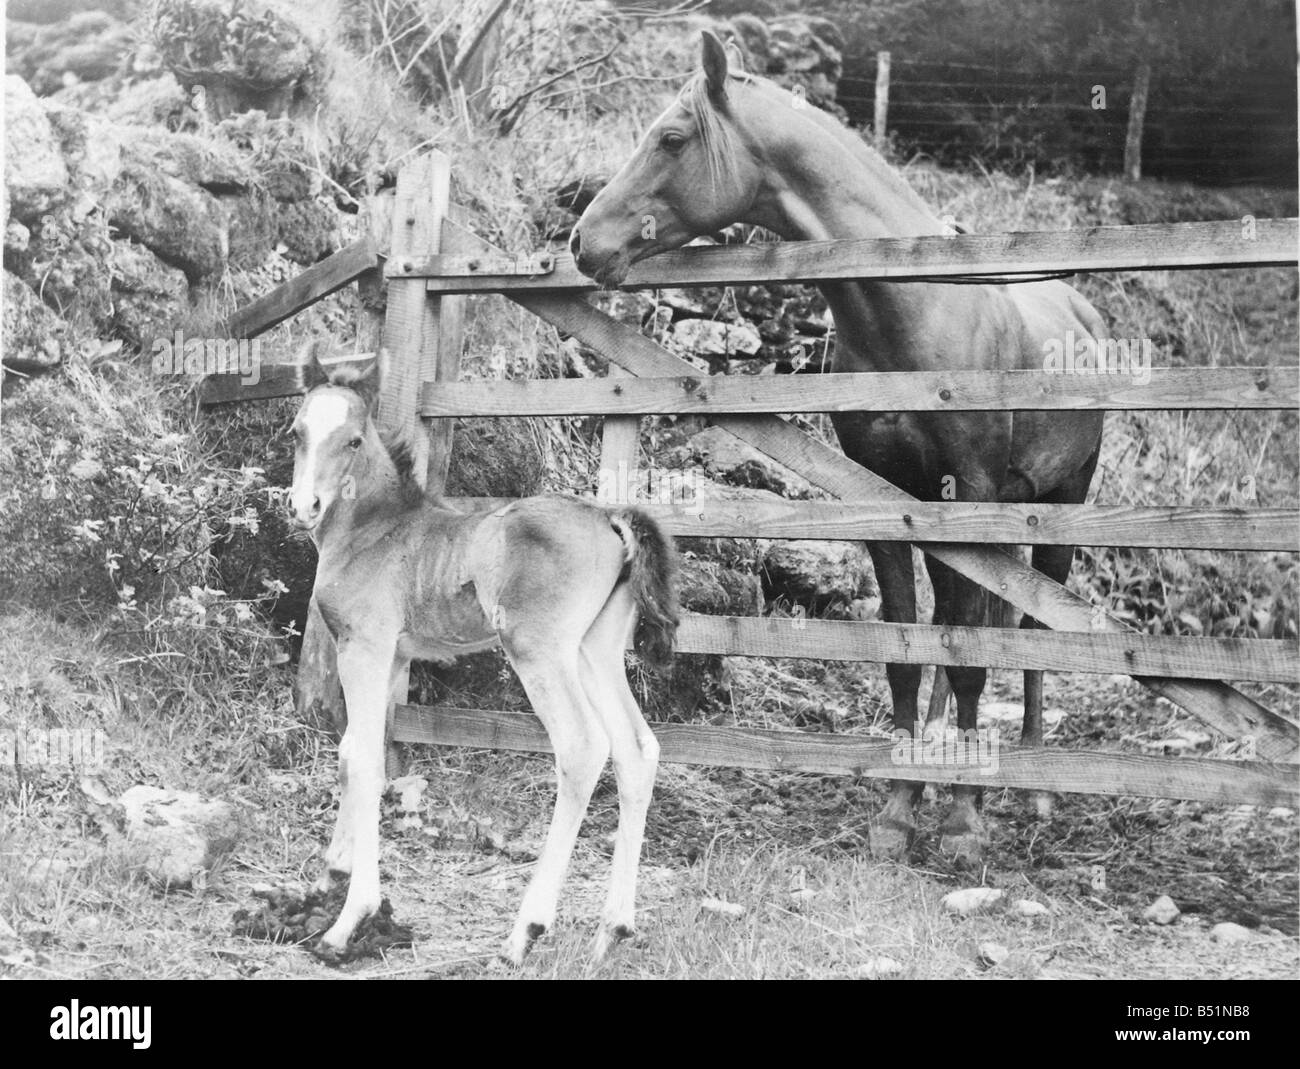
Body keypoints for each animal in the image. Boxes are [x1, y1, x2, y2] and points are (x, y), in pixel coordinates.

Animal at [286, 344, 679, 963]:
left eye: (352, 439)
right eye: (297, 431)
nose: (304, 506)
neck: (373, 532)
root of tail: (609, 515)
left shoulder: (364, 647)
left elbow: (364, 759)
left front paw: (349, 920)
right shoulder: (391, 657)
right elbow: (354, 750)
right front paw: (331, 874)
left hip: (539, 650)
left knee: (582, 748)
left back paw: (524, 932)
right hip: (594, 652)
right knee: (636, 749)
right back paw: (610, 932)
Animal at [569, 31, 1107, 865]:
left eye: (673, 138)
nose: (581, 241)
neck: (914, 300)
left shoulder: (976, 490)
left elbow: (973, 652)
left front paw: (964, 820)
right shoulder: (887, 501)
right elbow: (908, 649)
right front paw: (901, 807)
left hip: (1058, 507)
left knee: (1027, 633)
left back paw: (1036, 786)